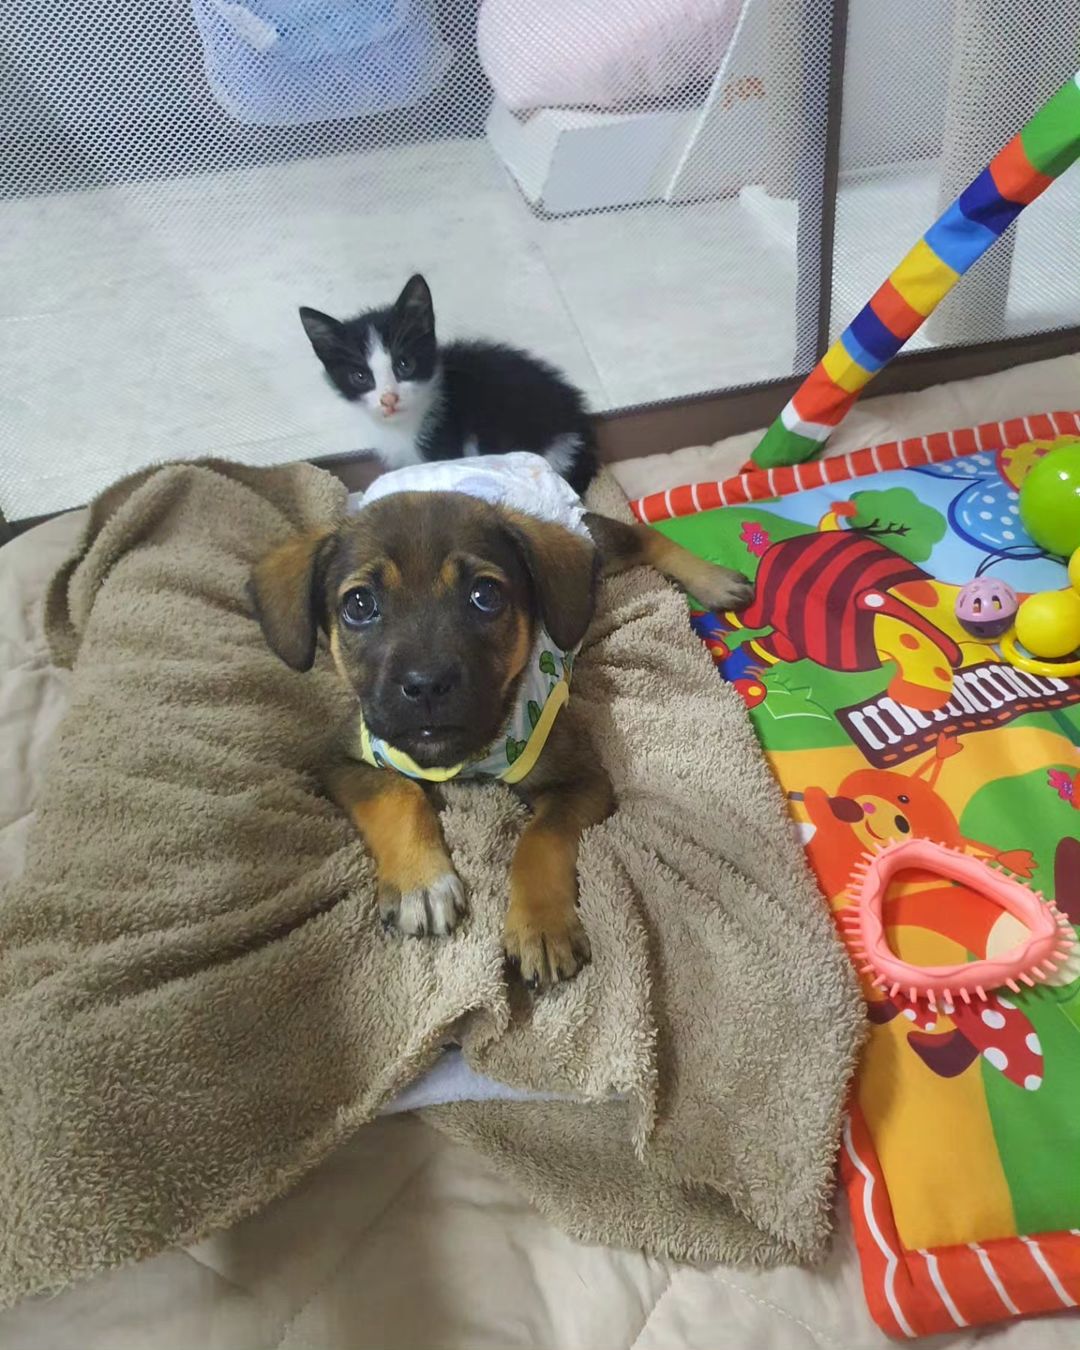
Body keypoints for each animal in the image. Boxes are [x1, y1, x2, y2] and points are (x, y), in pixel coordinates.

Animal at [249, 491, 750, 988]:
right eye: (358, 605)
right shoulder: (341, 758)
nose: (426, 685)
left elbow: (539, 837)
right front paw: (420, 881)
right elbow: (397, 793)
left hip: (595, 543)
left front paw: (540, 925)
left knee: (638, 534)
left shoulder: (581, 779)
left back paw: (715, 580)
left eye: (485, 596)